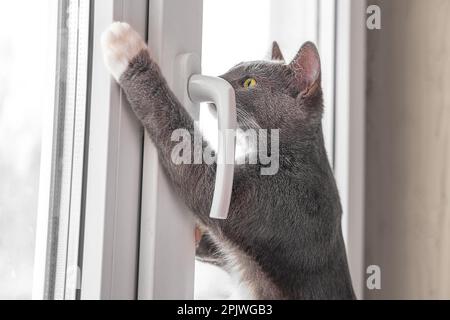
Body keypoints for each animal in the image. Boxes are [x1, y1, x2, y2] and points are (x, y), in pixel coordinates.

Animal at [102, 22, 356, 300]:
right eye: (234, 67)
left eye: (249, 82)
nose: (218, 76)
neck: (290, 152)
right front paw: (198, 236)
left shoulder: (269, 197)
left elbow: (189, 158)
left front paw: (125, 46)